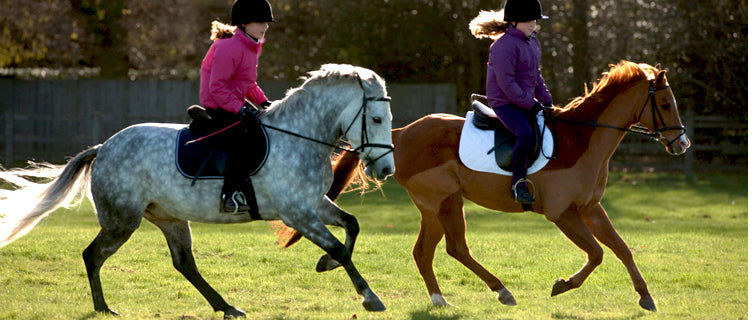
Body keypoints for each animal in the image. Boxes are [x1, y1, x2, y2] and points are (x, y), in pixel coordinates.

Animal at [0, 64, 396, 318]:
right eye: (376, 119)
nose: (387, 170)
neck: (299, 136)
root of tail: (104, 146)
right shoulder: (298, 213)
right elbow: (339, 246)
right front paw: (369, 296)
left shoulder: (313, 205)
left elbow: (352, 225)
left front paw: (326, 265)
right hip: (121, 221)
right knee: (92, 256)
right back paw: (103, 308)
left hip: (170, 219)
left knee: (184, 263)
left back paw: (227, 306)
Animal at [278, 61, 692, 312]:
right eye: (666, 105)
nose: (682, 144)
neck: (582, 140)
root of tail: (400, 133)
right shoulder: (563, 214)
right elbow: (597, 253)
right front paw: (562, 285)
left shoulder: (590, 208)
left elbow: (621, 249)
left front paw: (646, 297)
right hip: (444, 201)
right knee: (454, 248)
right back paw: (498, 291)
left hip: (437, 207)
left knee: (426, 252)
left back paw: (441, 299)